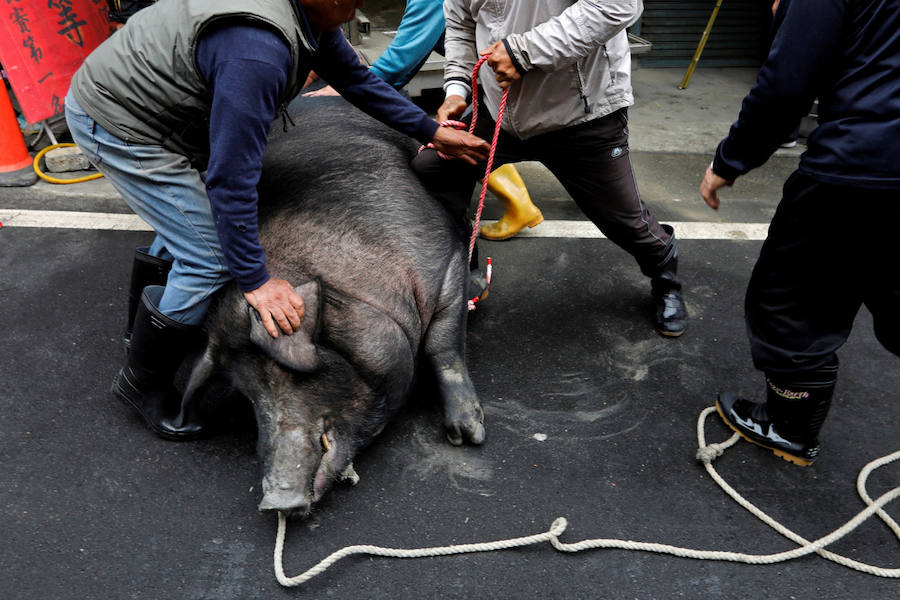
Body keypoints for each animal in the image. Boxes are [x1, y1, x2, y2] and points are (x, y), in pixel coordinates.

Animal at [183, 94, 485, 517]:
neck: (357, 293)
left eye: (283, 374)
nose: (274, 502)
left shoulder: (444, 263)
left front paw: (468, 436)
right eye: (248, 395)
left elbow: (444, 346)